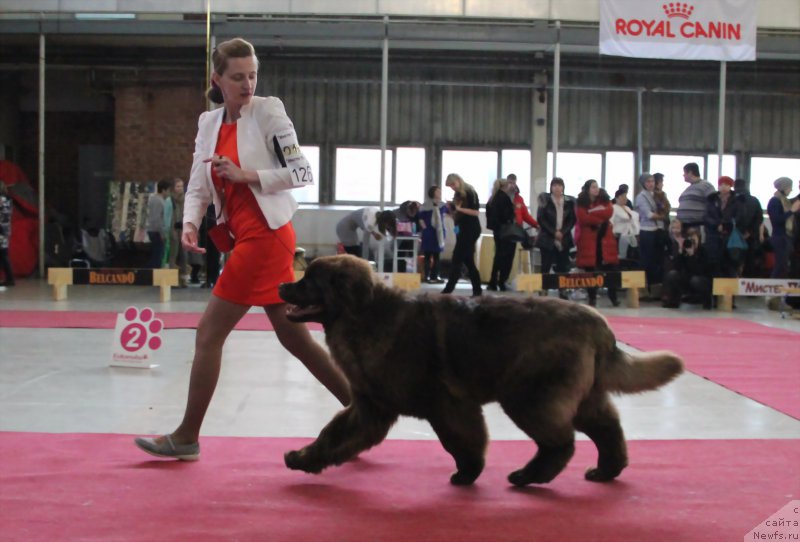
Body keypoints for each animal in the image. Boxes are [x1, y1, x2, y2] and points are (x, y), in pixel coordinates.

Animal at [278, 255, 684, 488]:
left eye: (309, 280)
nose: (282, 284)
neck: (365, 317)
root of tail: (598, 323)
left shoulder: (447, 405)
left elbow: (461, 440)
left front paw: (467, 473)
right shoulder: (370, 408)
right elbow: (332, 435)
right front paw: (302, 458)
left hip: (528, 396)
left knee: (561, 441)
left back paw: (528, 477)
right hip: (580, 398)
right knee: (607, 429)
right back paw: (606, 471)